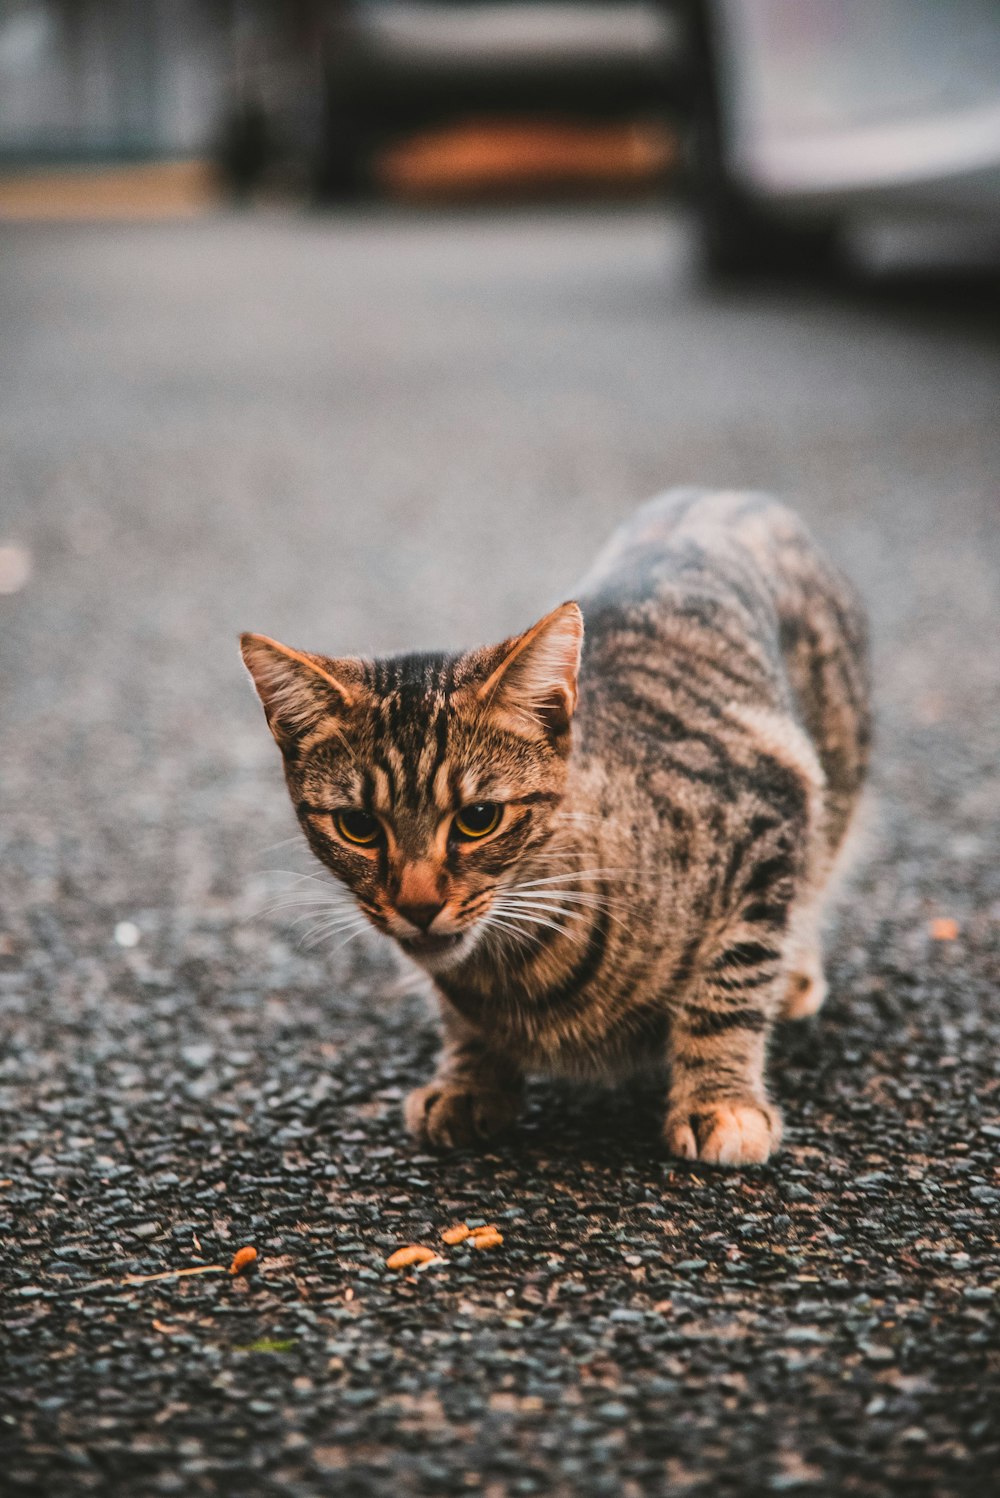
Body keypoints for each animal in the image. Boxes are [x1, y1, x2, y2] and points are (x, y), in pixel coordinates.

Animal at [239, 491, 868, 1168]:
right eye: (358, 826)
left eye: (478, 819)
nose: (418, 906)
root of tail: (723, 493)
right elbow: (460, 1020)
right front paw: (470, 1079)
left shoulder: (769, 813)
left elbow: (730, 984)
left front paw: (719, 1101)